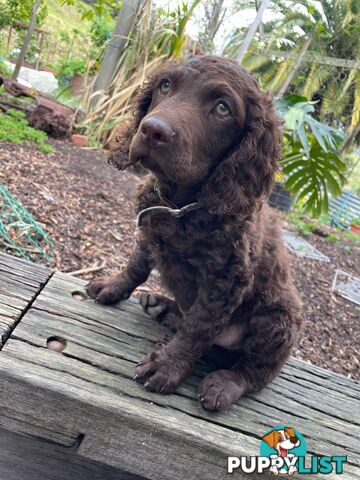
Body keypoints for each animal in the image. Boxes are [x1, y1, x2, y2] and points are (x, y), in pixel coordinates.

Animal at [86, 54, 300, 410]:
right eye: (165, 85)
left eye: (223, 108)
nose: (152, 130)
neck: (183, 206)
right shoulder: (150, 231)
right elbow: (136, 266)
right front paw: (112, 286)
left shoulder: (226, 279)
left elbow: (198, 327)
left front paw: (167, 365)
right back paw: (162, 307)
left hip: (278, 320)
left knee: (254, 371)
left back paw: (225, 383)